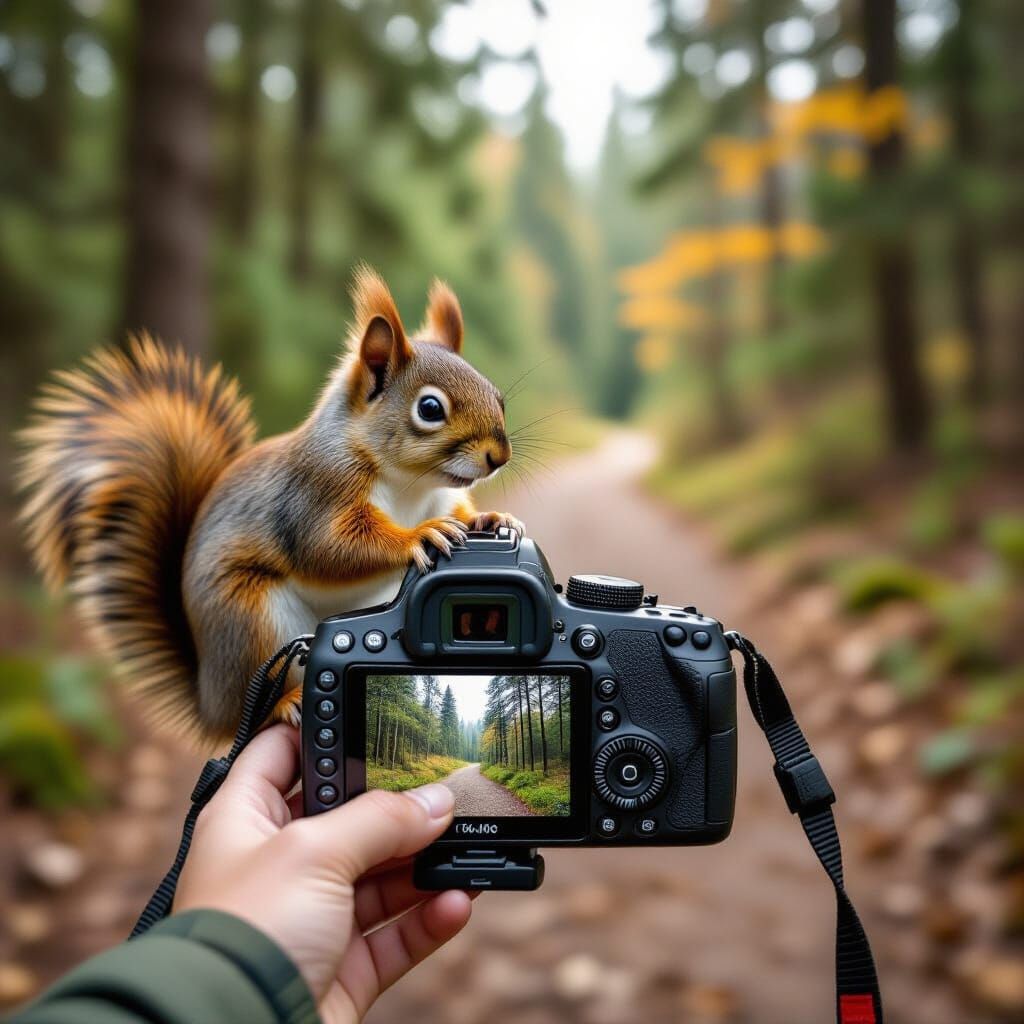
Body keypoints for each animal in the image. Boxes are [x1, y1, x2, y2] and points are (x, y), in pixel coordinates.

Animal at [18, 267, 523, 745]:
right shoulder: (315, 493)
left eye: (498, 396)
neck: (411, 485)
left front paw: (493, 518)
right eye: (430, 409)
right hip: (249, 619)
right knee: (256, 706)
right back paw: (285, 702)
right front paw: (419, 535)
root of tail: (211, 704)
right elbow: (329, 548)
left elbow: (459, 513)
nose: (498, 456)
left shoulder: (442, 495)